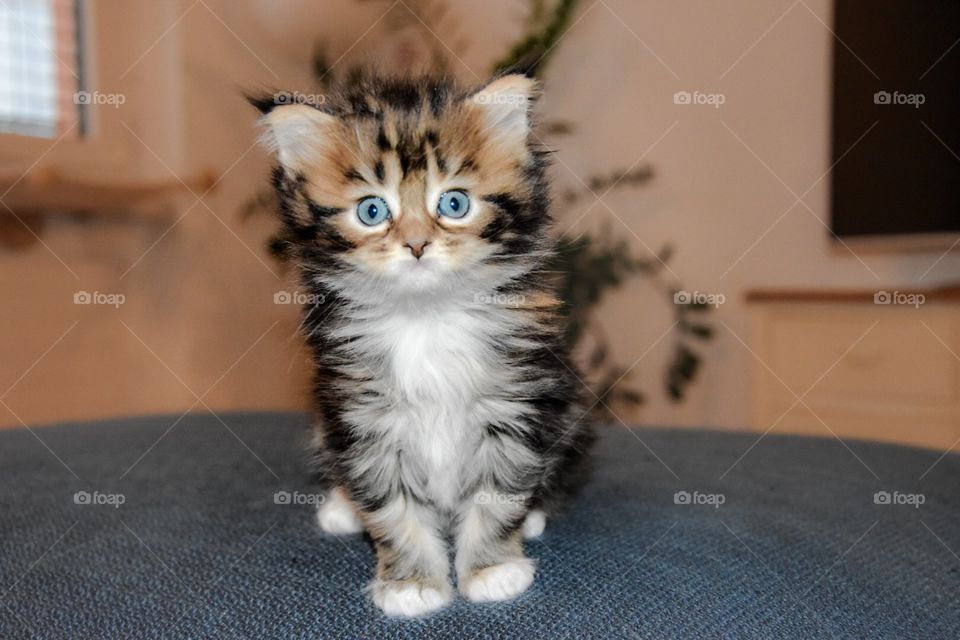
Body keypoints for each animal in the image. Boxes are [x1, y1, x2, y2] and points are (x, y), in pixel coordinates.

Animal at [253, 72, 592, 616]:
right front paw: (411, 583)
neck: (426, 318)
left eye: (453, 204)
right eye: (372, 211)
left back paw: (538, 513)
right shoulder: (363, 415)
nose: (416, 245)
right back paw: (341, 507)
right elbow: (392, 509)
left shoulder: (514, 402)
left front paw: (493, 570)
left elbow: (498, 495)